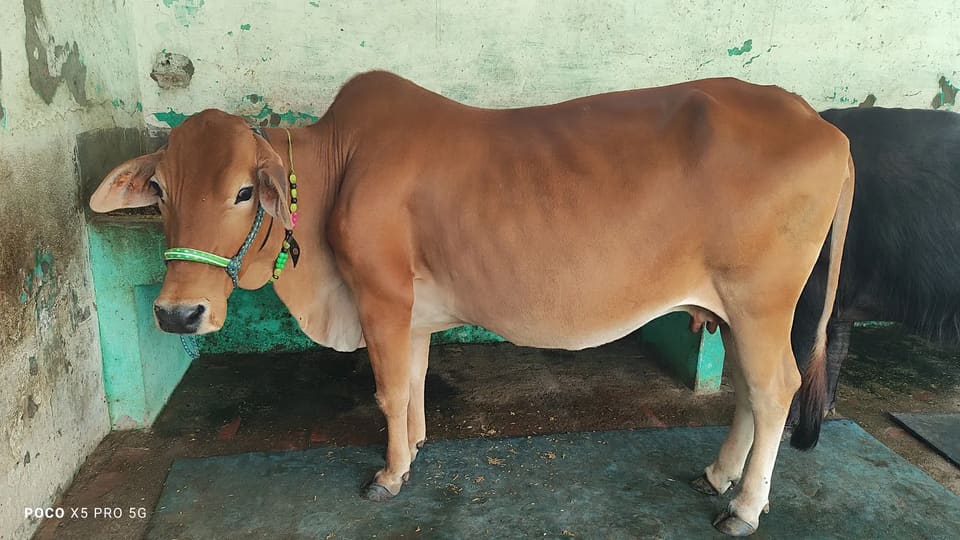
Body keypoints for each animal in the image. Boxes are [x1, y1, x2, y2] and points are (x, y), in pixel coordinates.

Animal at [89, 71, 854, 536]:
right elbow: (415, 379)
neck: (338, 164)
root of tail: (822, 125)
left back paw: (745, 506)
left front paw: (390, 473)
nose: (177, 314)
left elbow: (389, 389)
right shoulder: (411, 311)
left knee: (774, 388)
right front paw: (417, 444)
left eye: (245, 192)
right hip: (737, 309)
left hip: (760, 303)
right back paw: (719, 475)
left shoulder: (381, 296)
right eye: (159, 190)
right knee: (750, 394)